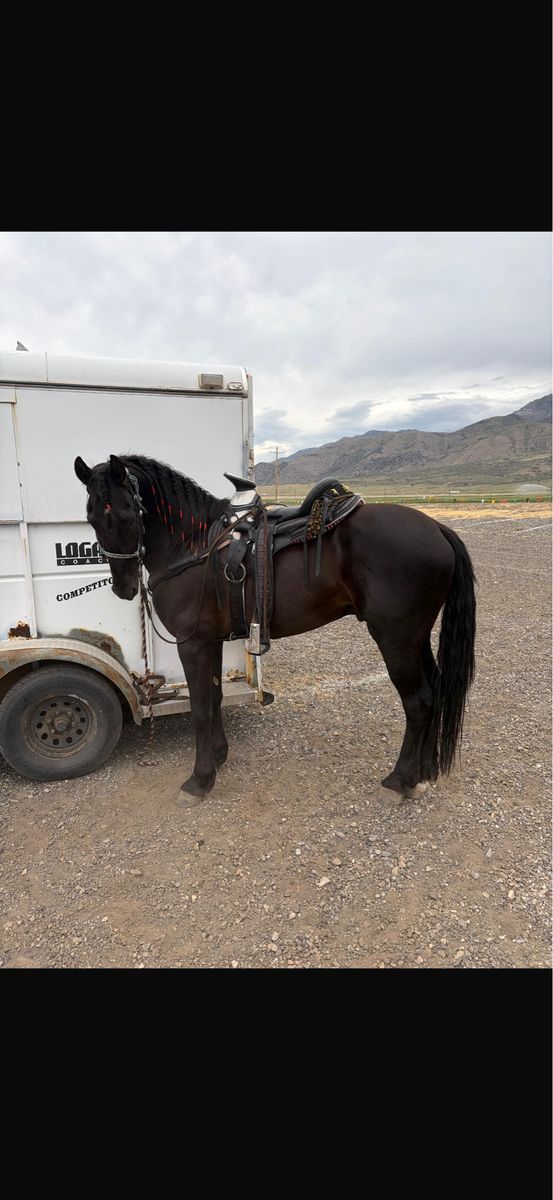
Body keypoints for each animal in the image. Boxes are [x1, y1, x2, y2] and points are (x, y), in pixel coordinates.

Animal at [74, 453, 476, 808]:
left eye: (127, 514)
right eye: (91, 517)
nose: (124, 587)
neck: (195, 545)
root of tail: (437, 528)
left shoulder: (193, 644)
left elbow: (200, 708)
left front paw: (200, 779)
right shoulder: (211, 642)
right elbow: (215, 698)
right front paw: (218, 756)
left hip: (396, 639)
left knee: (419, 702)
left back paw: (400, 780)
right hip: (415, 638)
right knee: (434, 691)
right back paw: (423, 773)